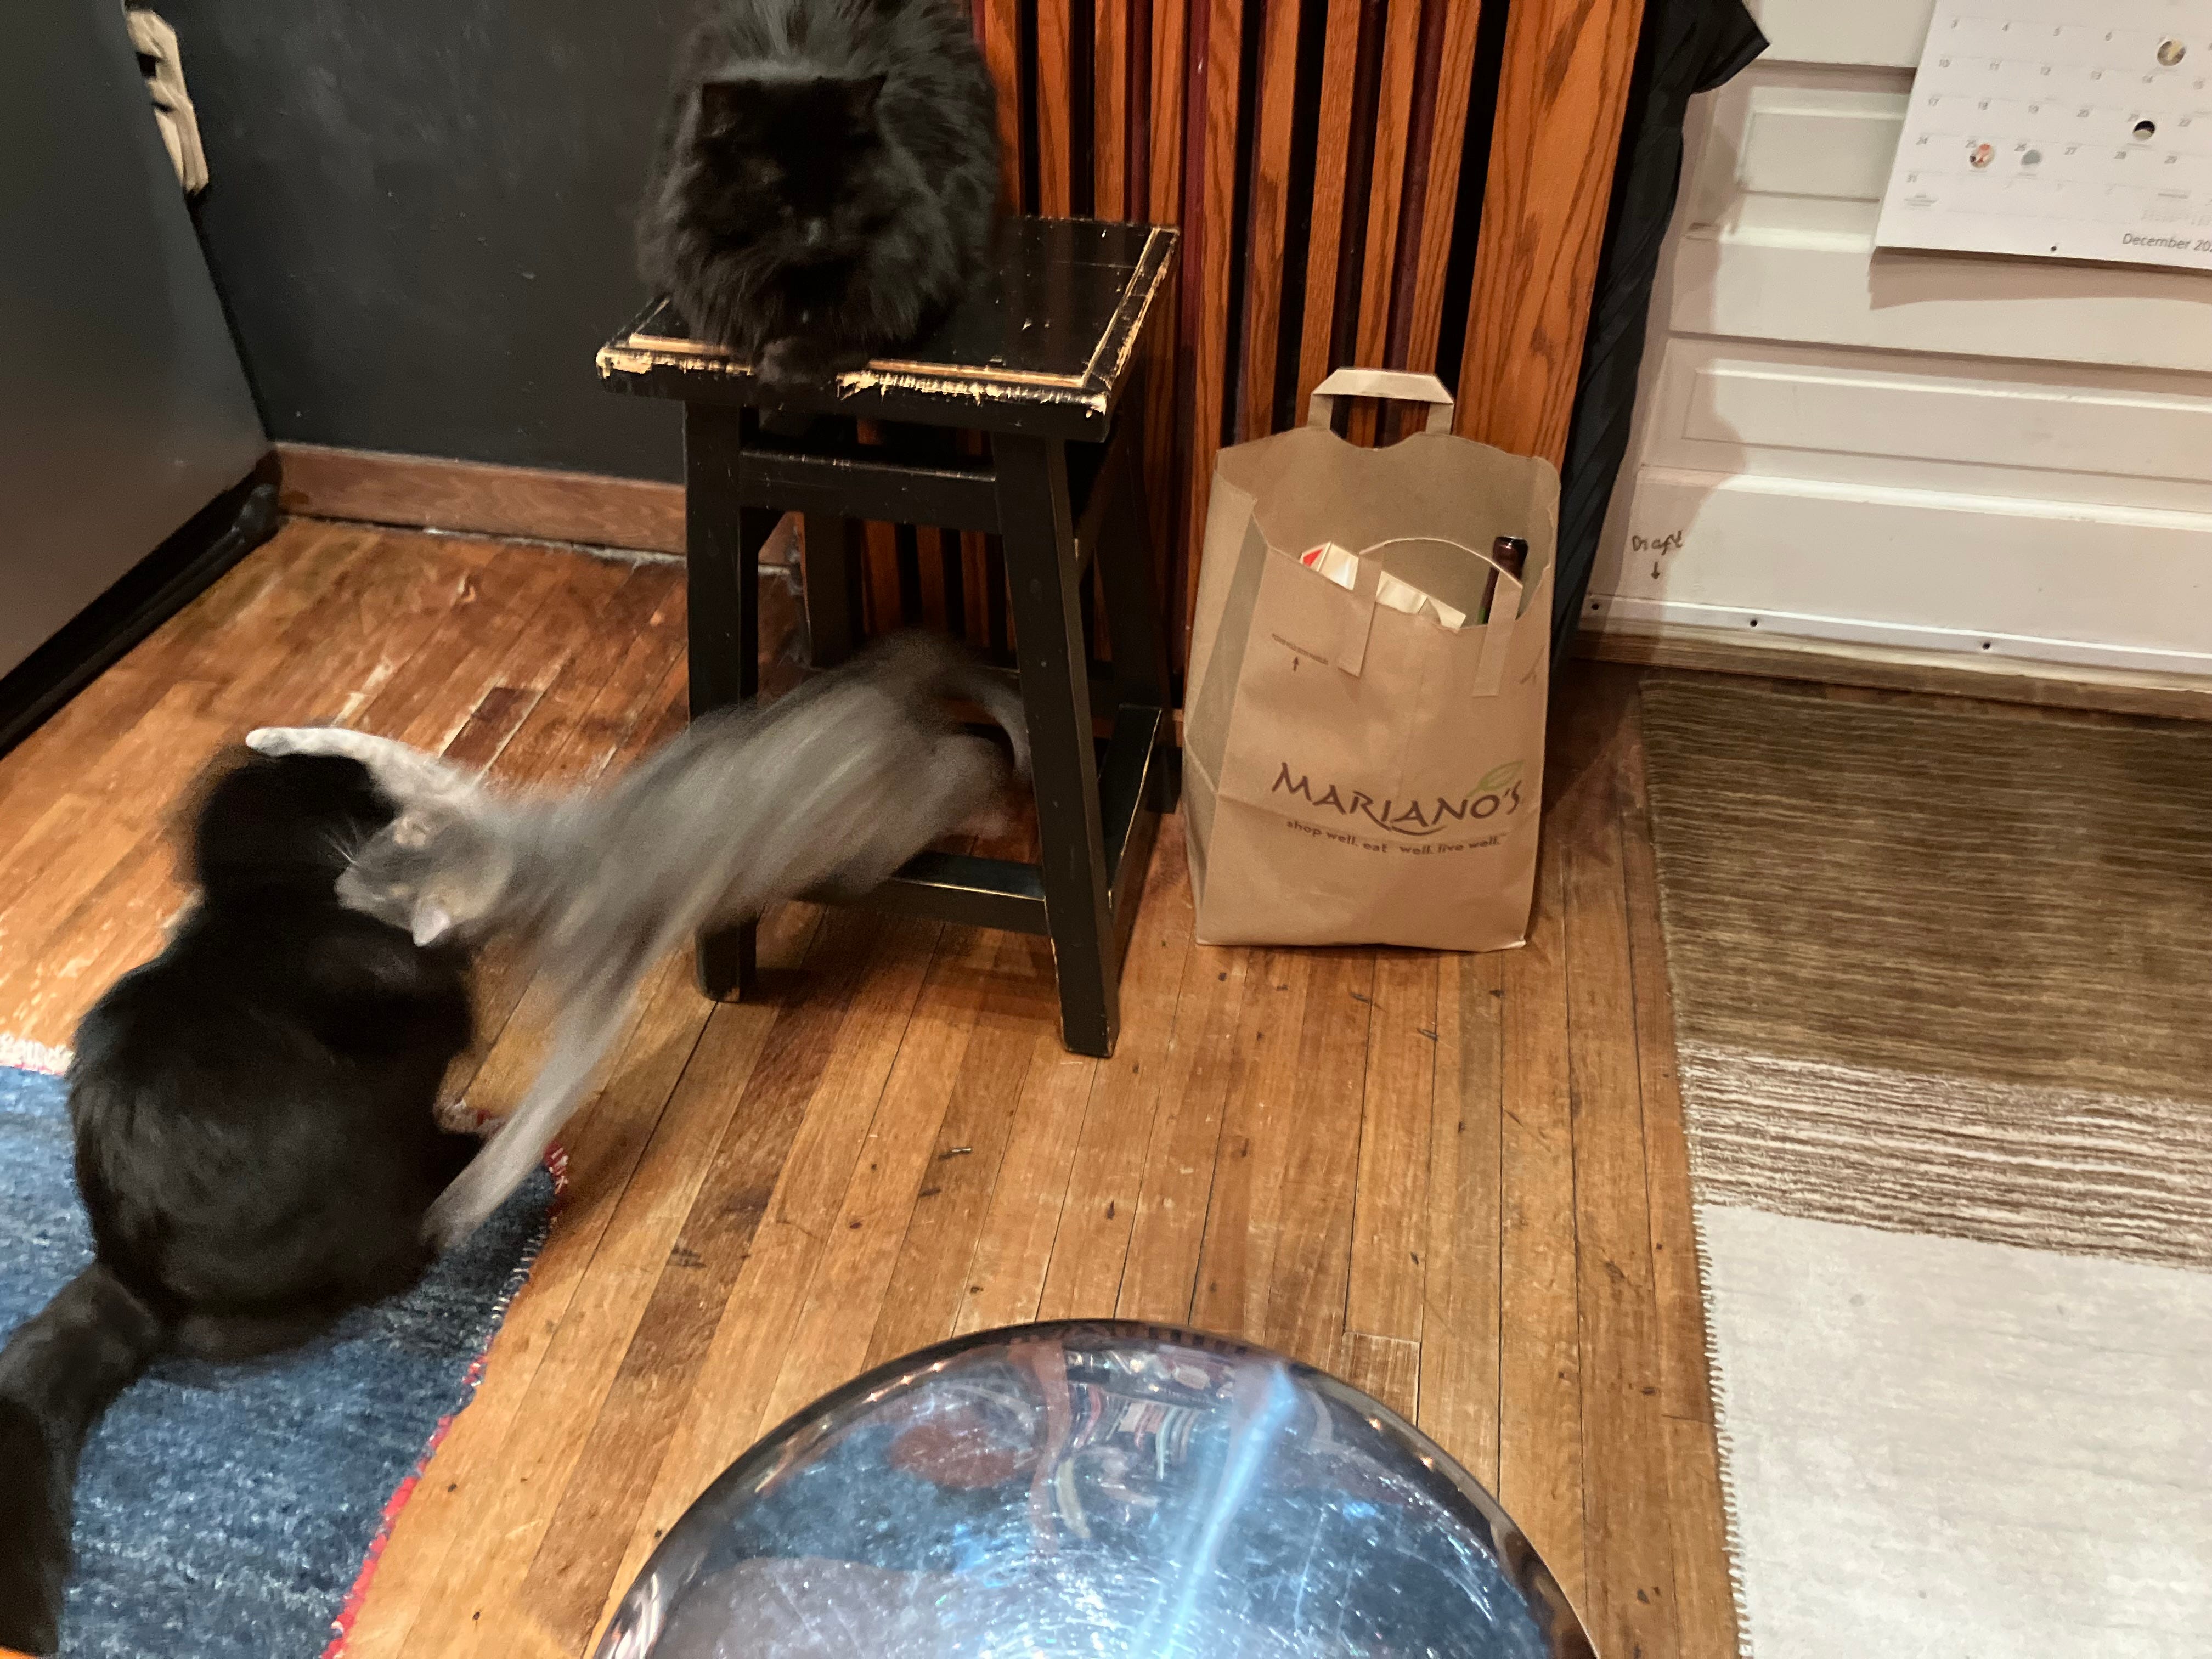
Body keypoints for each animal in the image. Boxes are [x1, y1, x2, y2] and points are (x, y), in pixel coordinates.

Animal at [248, 632, 1029, 1248]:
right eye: (367, 858)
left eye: (378, 903)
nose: (338, 888)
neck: (528, 857)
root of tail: (873, 690)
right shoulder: (467, 794)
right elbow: (381, 748)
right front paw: (273, 736)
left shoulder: (598, 983)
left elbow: (539, 1112)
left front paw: (452, 1212)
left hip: (888, 832)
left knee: (970, 762)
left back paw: (1000, 800)